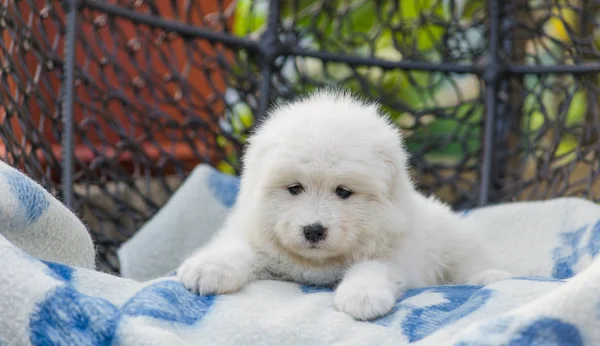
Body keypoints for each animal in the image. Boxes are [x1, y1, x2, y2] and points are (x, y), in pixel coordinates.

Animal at [176, 88, 508, 320]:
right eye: (294, 189)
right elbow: (237, 248)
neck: (317, 265)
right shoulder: (256, 236)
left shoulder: (396, 255)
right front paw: (208, 268)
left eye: (344, 192)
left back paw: (489, 277)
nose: (313, 230)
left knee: (470, 261)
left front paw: (362, 297)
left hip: (453, 239)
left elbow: (371, 267)